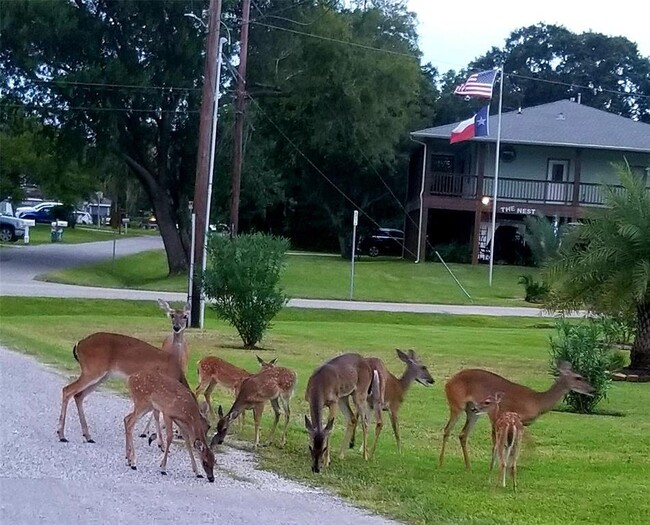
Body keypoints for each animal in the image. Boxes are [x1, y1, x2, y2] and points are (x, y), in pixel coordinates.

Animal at [436, 360, 592, 470]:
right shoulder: (511, 417)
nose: (593, 389)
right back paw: (441, 463)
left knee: (463, 434)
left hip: (473, 411)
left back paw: (468, 467)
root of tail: (448, 382)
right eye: (578, 377)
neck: (537, 401)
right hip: (457, 405)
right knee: (447, 430)